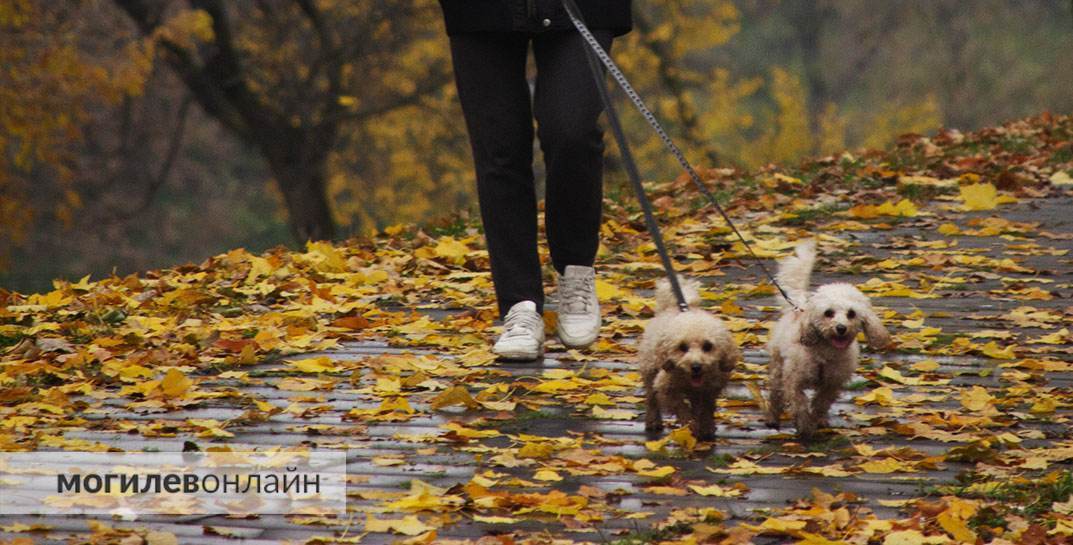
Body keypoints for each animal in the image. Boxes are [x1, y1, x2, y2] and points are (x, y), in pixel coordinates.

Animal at [639, 278, 742, 439]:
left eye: (708, 346)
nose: (696, 367)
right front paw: (689, 427)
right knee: (651, 398)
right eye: (682, 347)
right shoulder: (667, 388)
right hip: (650, 369)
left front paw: (706, 427)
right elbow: (681, 407)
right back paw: (653, 421)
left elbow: (706, 408)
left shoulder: (711, 389)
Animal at [768, 240, 892, 435]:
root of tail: (797, 307)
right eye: (828, 313)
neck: (825, 353)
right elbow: (799, 403)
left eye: (851, 314)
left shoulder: (832, 383)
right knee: (775, 394)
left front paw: (817, 420)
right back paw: (772, 419)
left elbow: (821, 402)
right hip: (778, 367)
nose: (841, 328)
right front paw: (805, 426)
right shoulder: (794, 380)